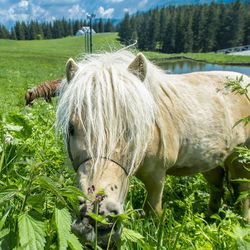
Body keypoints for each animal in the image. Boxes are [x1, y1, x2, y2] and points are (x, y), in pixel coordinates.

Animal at [55, 50, 249, 246]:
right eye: (71, 128)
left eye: (133, 128)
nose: (96, 223)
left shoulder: (157, 177)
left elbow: (153, 212)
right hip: (210, 159)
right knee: (216, 185)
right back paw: (210, 217)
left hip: (240, 159)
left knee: (244, 191)